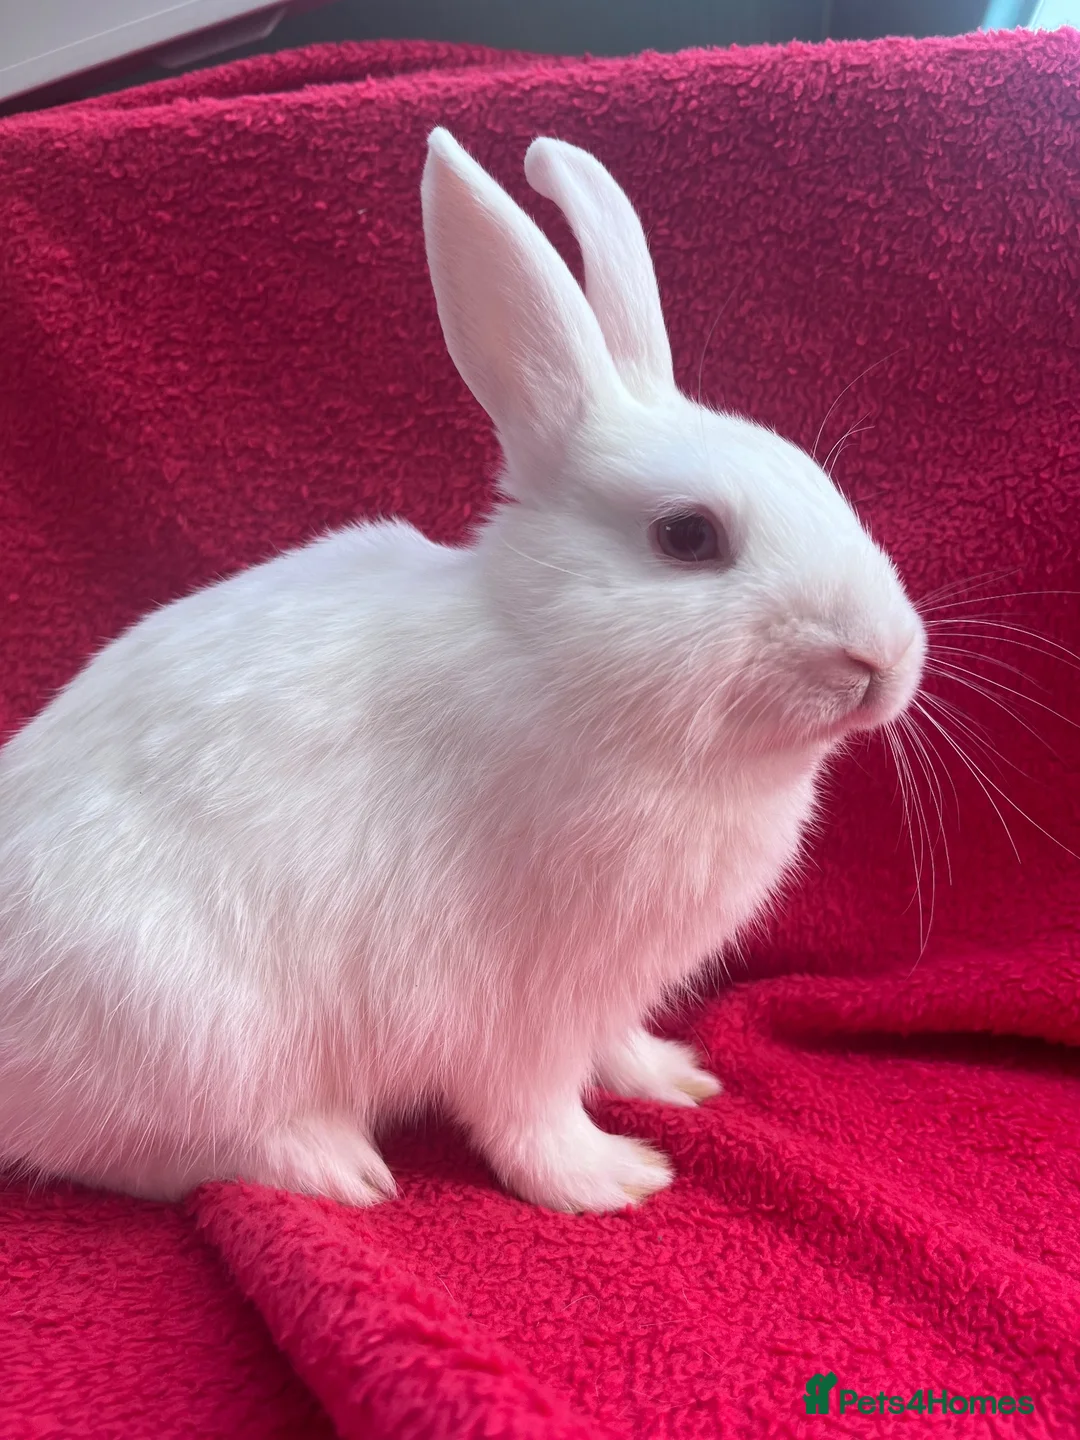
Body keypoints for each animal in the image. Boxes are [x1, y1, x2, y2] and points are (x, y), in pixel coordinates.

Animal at [0, 128, 926, 1213]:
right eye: (688, 536)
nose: (884, 657)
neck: (556, 667)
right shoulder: (512, 1002)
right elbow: (529, 1108)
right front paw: (610, 1179)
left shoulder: (608, 991)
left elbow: (615, 1045)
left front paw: (674, 1078)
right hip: (189, 1026)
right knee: (173, 1152)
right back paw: (338, 1163)